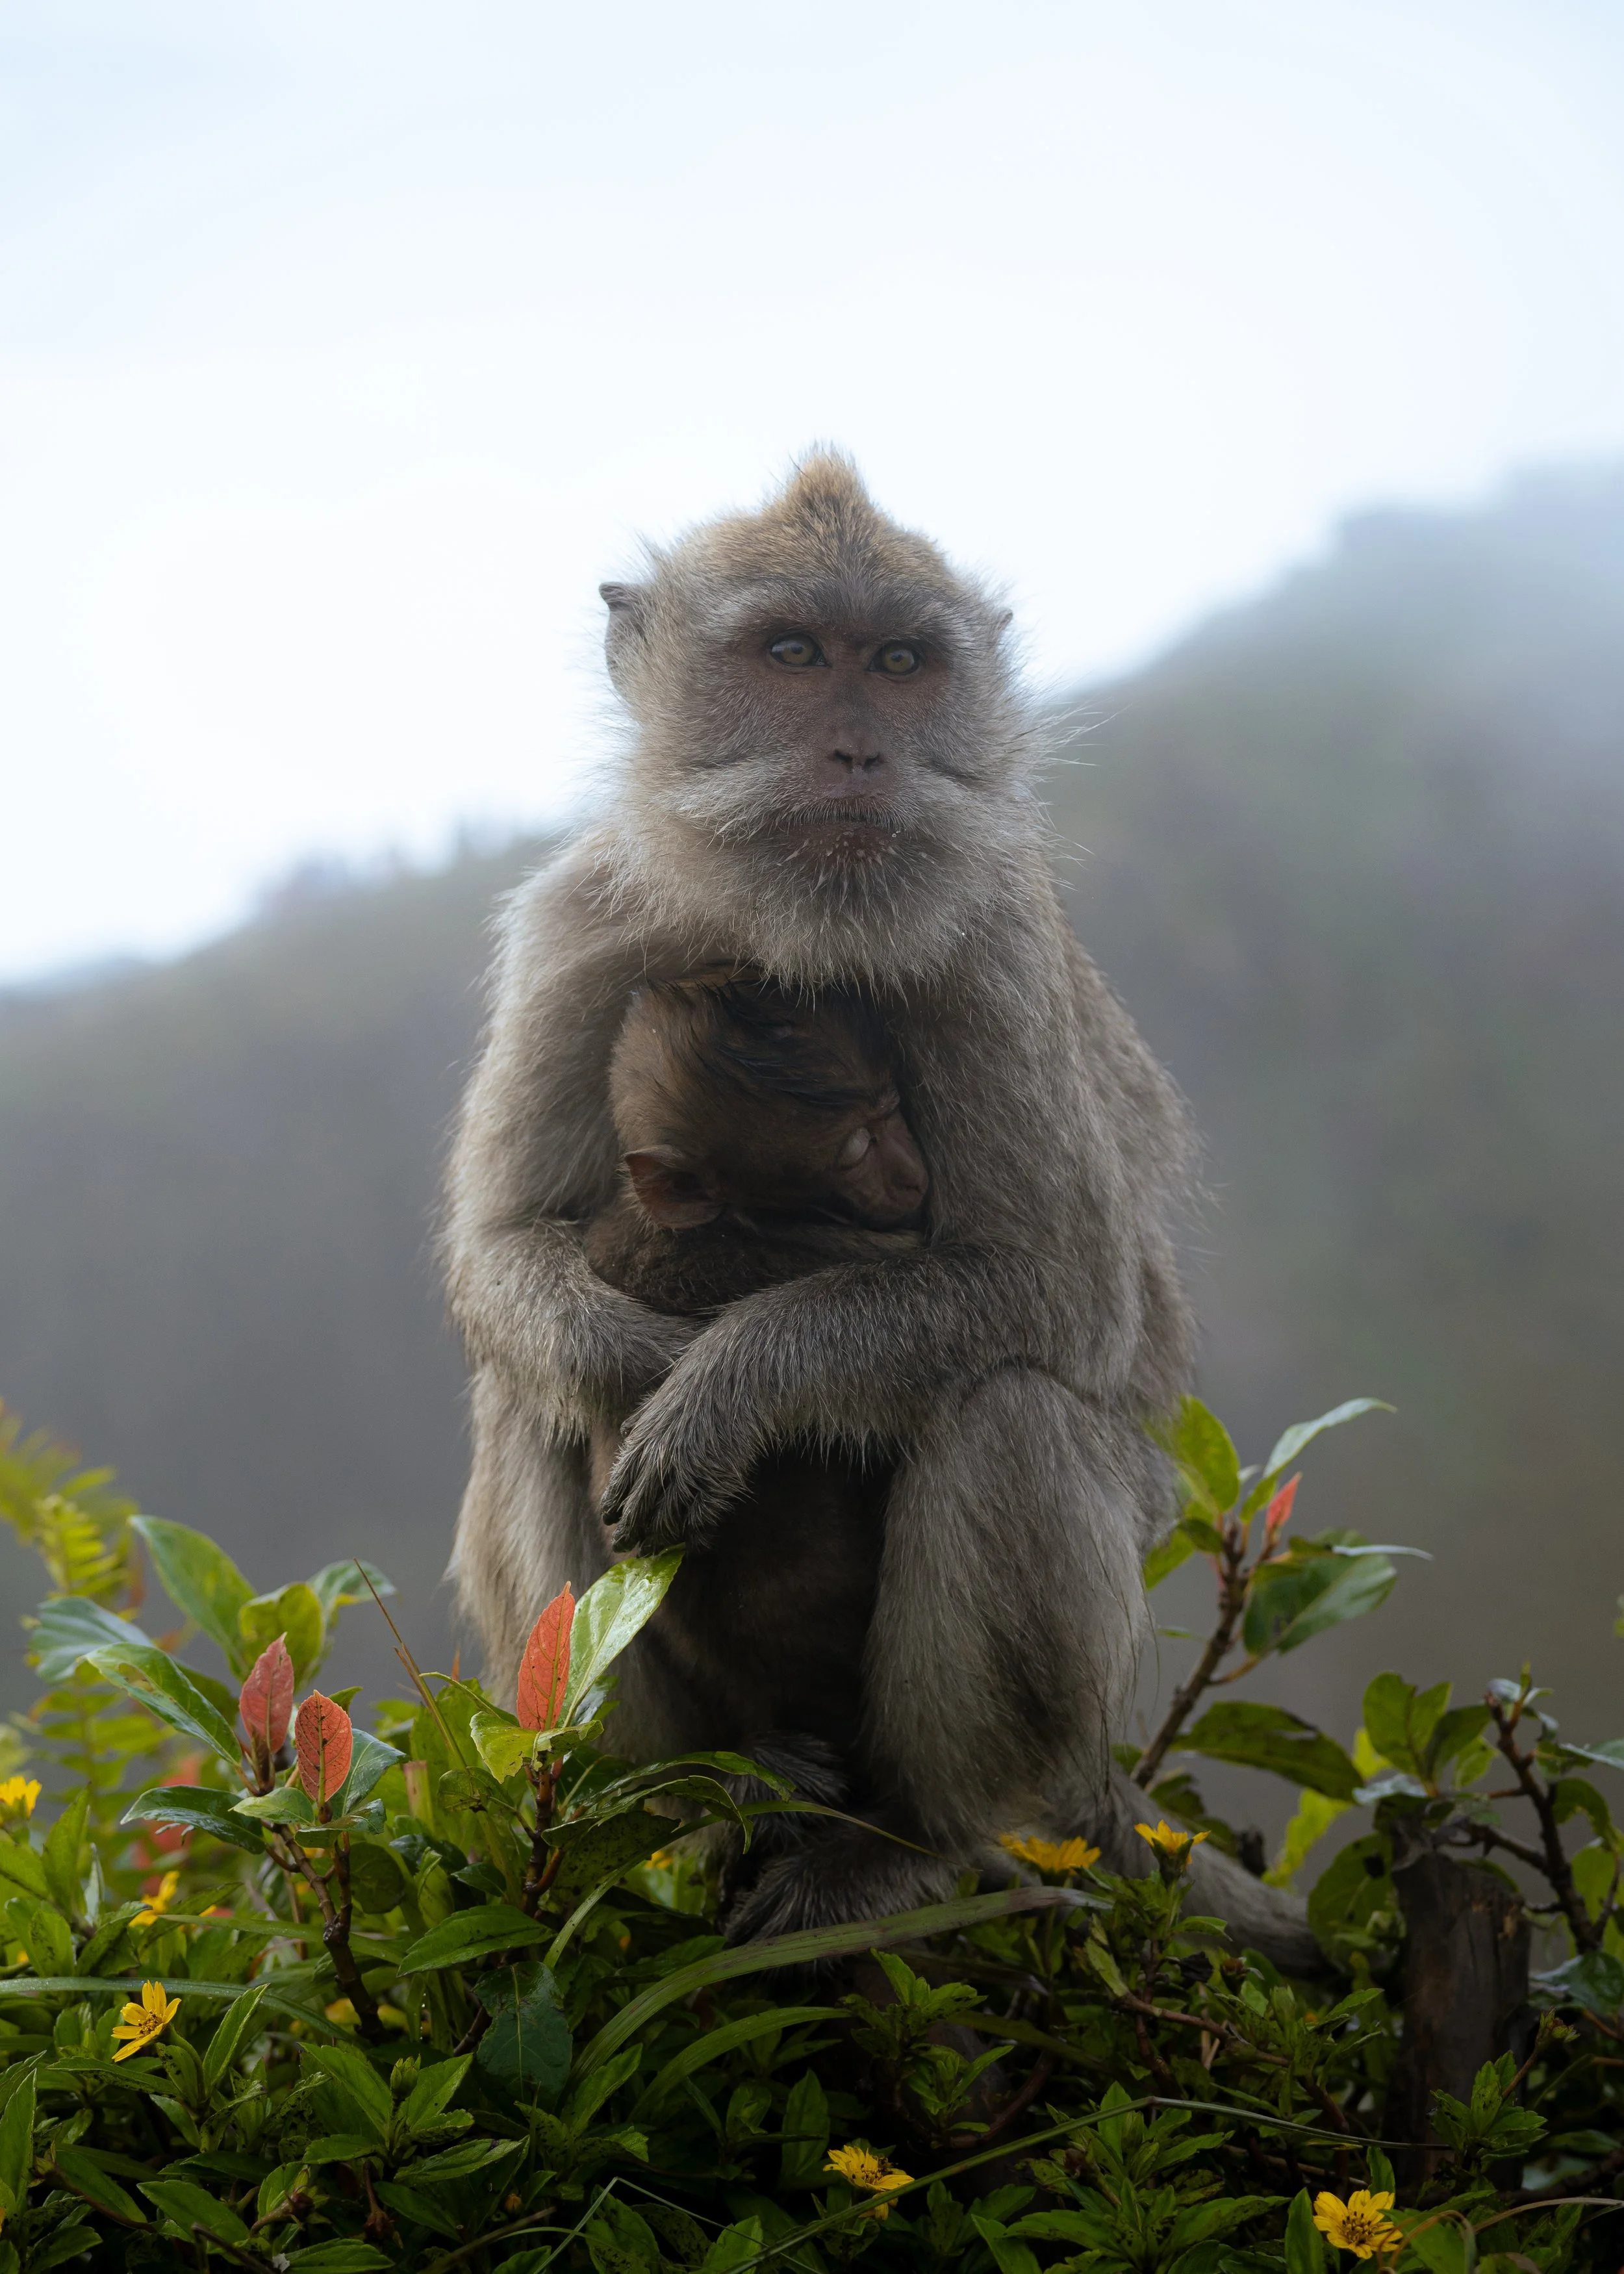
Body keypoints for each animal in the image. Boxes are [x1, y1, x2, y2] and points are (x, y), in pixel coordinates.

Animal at [443, 453, 1321, 1969]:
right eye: (795, 655)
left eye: (901, 665)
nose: (860, 755)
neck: (779, 925)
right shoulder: (582, 924)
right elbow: (504, 1249)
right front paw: (636, 1363)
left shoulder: (990, 950)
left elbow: (1055, 1292)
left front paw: (726, 1385)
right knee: (525, 1401)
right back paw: (692, 1803)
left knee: (1007, 1412)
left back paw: (915, 1844)